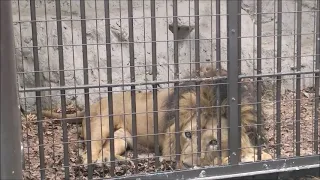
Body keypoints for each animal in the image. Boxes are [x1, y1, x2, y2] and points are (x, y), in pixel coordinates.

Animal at [32, 65, 272, 168]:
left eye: (214, 141)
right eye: (187, 134)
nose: (186, 165)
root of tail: (91, 105)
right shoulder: (170, 146)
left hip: (121, 136)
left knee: (104, 152)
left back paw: (119, 160)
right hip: (101, 125)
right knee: (87, 155)